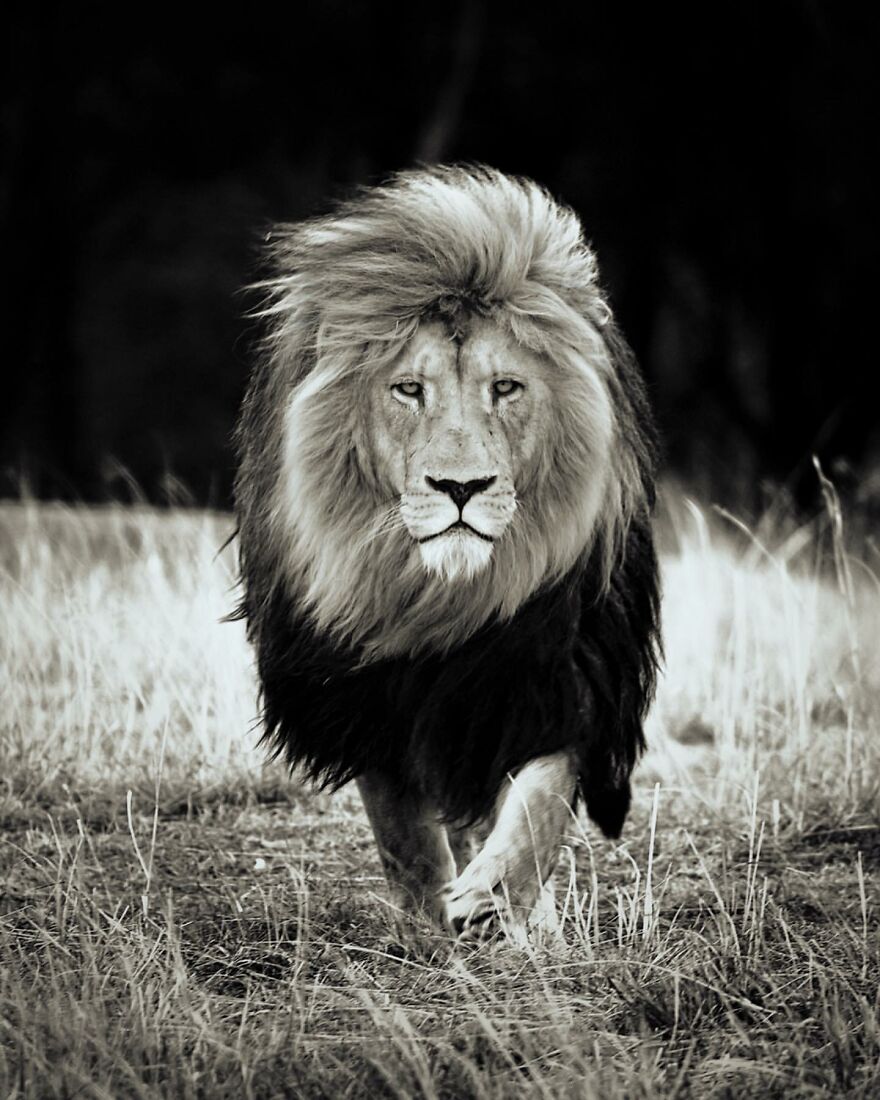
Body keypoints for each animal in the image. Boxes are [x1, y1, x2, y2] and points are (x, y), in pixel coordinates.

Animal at [233, 165, 661, 940]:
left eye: (506, 387)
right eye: (408, 389)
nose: (461, 487)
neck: (442, 592)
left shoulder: (552, 671)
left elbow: (538, 805)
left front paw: (499, 903)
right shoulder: (361, 690)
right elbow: (403, 834)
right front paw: (431, 922)